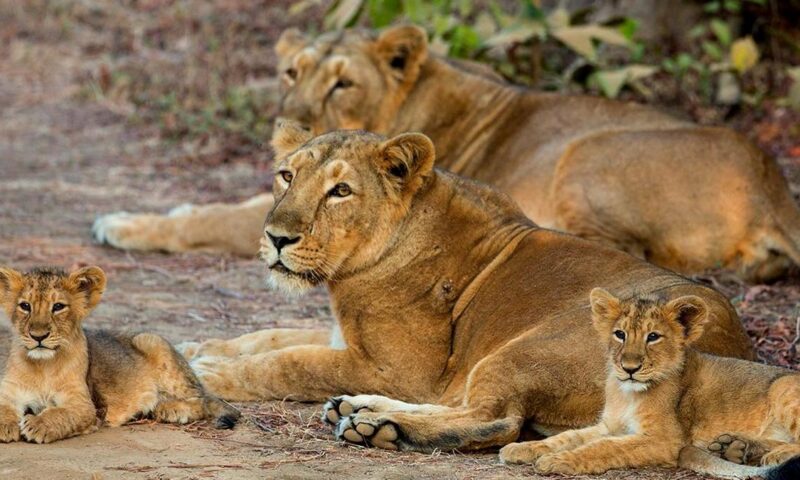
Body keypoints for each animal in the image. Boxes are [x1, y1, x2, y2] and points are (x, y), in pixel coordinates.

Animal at [0, 266, 239, 444]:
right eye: (25, 306)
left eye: (58, 306)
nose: (38, 336)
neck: (42, 366)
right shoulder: (9, 391)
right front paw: (5, 425)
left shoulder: (85, 406)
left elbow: (61, 414)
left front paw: (37, 424)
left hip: (152, 342)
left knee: (201, 400)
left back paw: (170, 409)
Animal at [93, 25, 800, 283]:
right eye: (292, 71)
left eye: (344, 83)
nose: (293, 118)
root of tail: (775, 188)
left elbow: (219, 216)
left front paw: (123, 224)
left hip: (586, 152)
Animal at [181, 121, 753, 453]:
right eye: (286, 175)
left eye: (340, 190)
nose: (276, 237)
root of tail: (734, 352)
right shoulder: (352, 342)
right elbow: (270, 336)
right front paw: (198, 346)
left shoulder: (402, 369)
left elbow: (290, 361)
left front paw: (207, 371)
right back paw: (360, 411)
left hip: (527, 349)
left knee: (496, 421)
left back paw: (378, 428)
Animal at [499, 288, 800, 479]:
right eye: (619, 334)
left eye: (653, 337)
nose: (629, 368)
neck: (627, 393)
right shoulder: (609, 425)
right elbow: (567, 437)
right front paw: (522, 449)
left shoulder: (665, 440)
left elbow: (606, 447)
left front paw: (559, 461)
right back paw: (736, 448)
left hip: (783, 386)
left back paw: (769, 454)